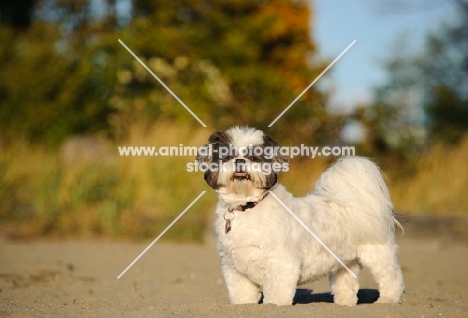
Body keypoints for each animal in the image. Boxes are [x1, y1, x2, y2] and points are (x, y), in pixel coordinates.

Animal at [196, 126, 404, 306]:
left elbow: (277, 293)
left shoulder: (281, 262)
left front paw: (274, 305)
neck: (248, 207)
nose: (240, 161)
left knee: (391, 277)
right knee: (346, 282)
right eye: (227, 156)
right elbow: (243, 294)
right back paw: (344, 304)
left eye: (254, 157)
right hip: (344, 262)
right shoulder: (235, 268)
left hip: (377, 252)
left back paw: (387, 300)